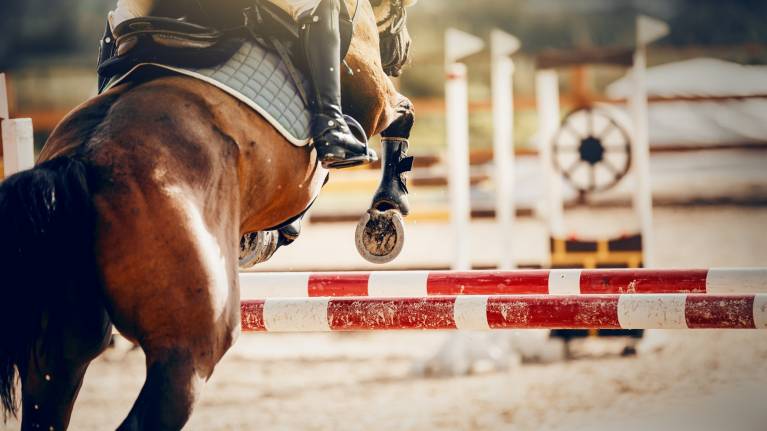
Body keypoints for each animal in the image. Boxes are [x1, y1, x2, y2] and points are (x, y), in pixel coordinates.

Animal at [0, 0, 415, 429]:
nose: (403, 52)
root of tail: (83, 158)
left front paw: (264, 239)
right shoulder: (375, 100)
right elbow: (404, 113)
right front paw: (387, 208)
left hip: (60, 348)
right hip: (189, 346)